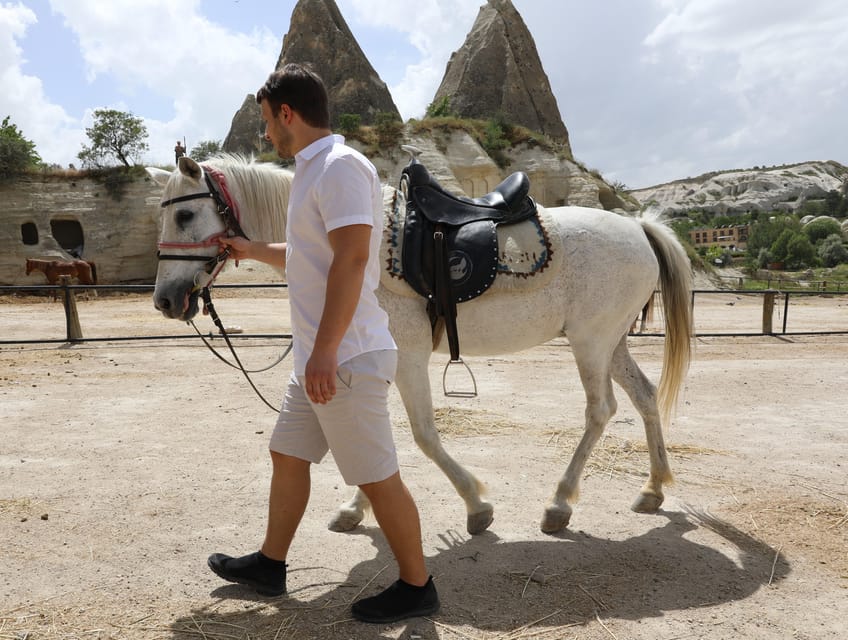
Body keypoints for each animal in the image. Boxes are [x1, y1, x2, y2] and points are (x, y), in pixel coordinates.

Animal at [144, 155, 688, 536]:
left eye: (186, 215)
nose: (166, 300)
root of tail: (638, 226)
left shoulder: (406, 359)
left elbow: (422, 435)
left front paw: (476, 505)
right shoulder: (374, 360)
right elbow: (369, 437)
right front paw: (355, 507)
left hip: (590, 342)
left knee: (601, 410)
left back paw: (559, 504)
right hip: (611, 343)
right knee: (644, 396)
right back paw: (653, 489)